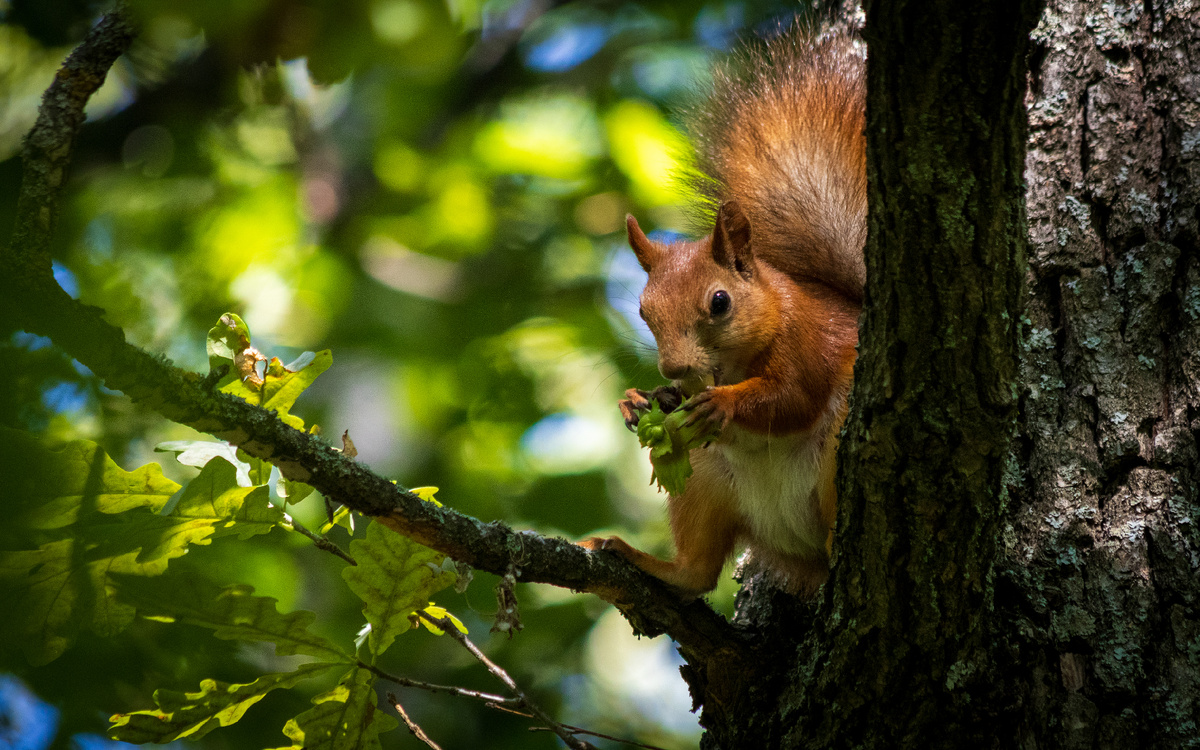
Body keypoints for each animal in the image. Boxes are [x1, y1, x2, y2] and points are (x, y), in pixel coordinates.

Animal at [580, 27, 864, 597]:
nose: (674, 369)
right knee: (697, 573)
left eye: (719, 302)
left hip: (837, 454)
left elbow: (793, 399)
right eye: (642, 311)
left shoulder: (808, 342)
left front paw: (721, 404)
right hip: (705, 480)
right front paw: (642, 400)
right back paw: (641, 558)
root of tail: (795, 550)